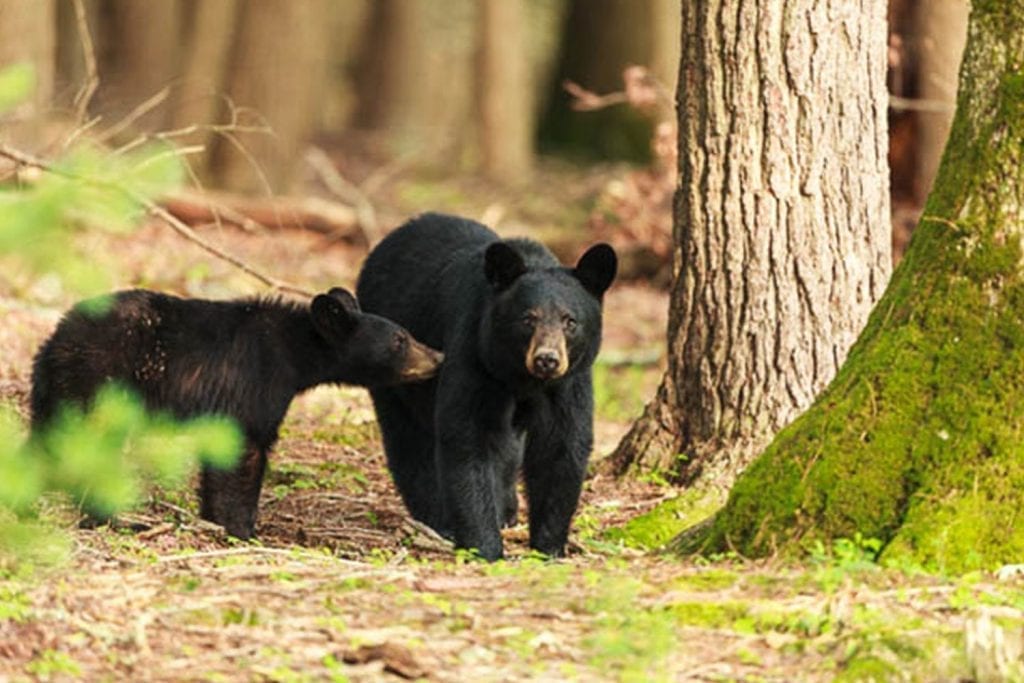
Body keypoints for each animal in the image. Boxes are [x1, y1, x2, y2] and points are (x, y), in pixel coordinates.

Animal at [30, 286, 440, 540]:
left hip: (57, 392)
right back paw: (110, 519)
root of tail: (56, 340)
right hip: (99, 383)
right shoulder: (256, 381)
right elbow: (246, 451)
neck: (296, 352)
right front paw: (242, 530)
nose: (439, 356)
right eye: (401, 339)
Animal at [360, 214, 614, 561]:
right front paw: (485, 546)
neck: (521, 378)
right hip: (395, 361)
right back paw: (436, 518)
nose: (547, 360)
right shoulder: (474, 353)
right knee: (408, 439)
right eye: (528, 319)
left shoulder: (568, 383)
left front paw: (548, 547)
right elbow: (467, 437)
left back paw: (506, 511)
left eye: (570, 321)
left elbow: (561, 445)